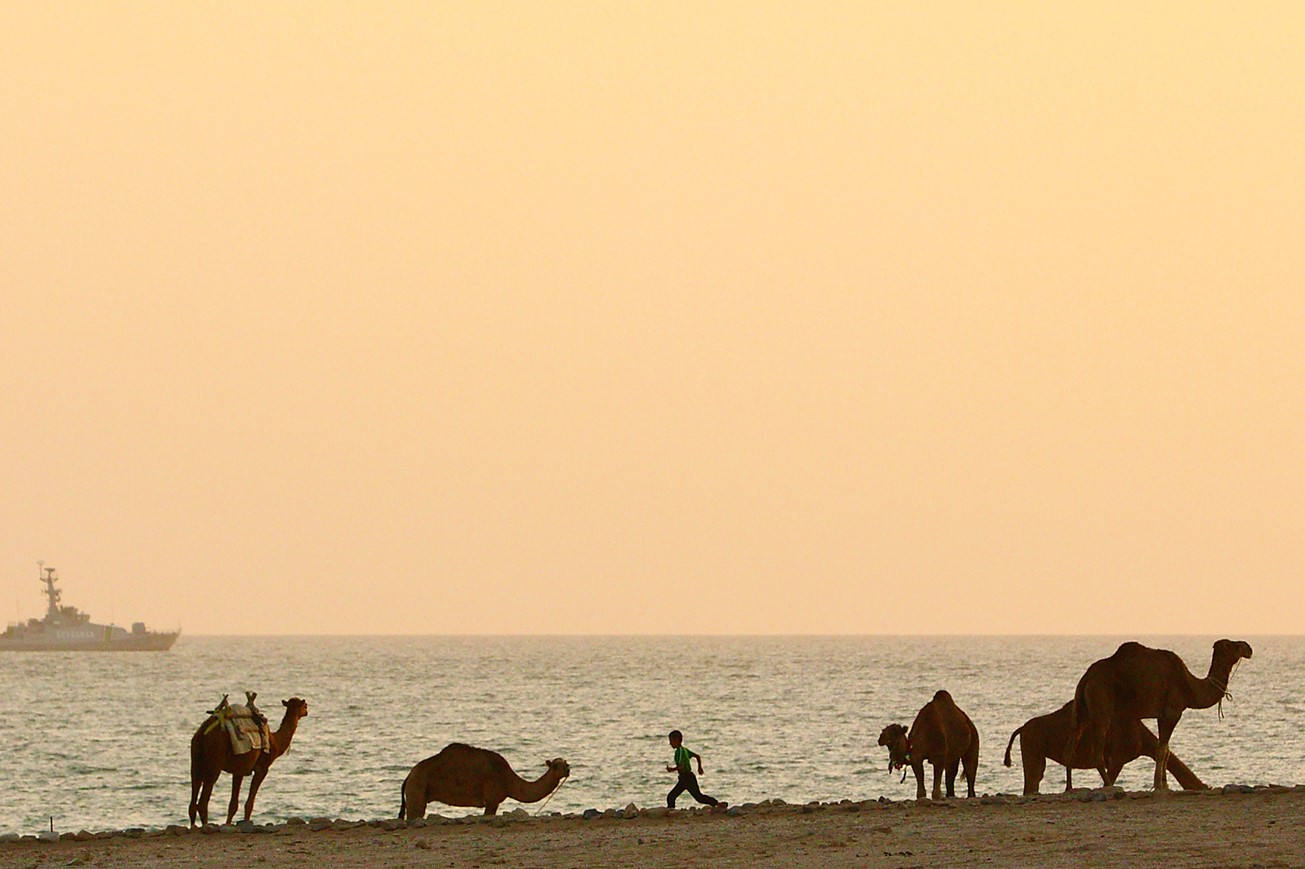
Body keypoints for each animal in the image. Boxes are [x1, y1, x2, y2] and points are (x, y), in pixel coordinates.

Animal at [188, 697, 309, 826]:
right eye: (305, 705)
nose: (307, 712)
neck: (275, 741)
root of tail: (202, 734)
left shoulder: (239, 770)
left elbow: (233, 804)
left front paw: (228, 824)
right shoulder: (262, 768)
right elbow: (249, 803)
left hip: (196, 760)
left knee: (193, 799)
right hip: (214, 762)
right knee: (203, 802)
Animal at [399, 743, 570, 819]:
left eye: (566, 763)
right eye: (556, 766)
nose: (568, 769)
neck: (508, 779)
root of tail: (408, 776)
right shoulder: (492, 799)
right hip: (417, 788)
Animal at [1067, 639, 1252, 791]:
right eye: (1234, 645)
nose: (1248, 648)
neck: (1190, 686)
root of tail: (1087, 677)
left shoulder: (1161, 715)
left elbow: (1166, 749)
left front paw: (1165, 785)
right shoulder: (1173, 712)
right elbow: (1162, 750)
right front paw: (1158, 786)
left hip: (1083, 709)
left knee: (1072, 744)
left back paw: (1069, 788)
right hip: (1101, 704)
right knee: (1097, 751)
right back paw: (1110, 786)